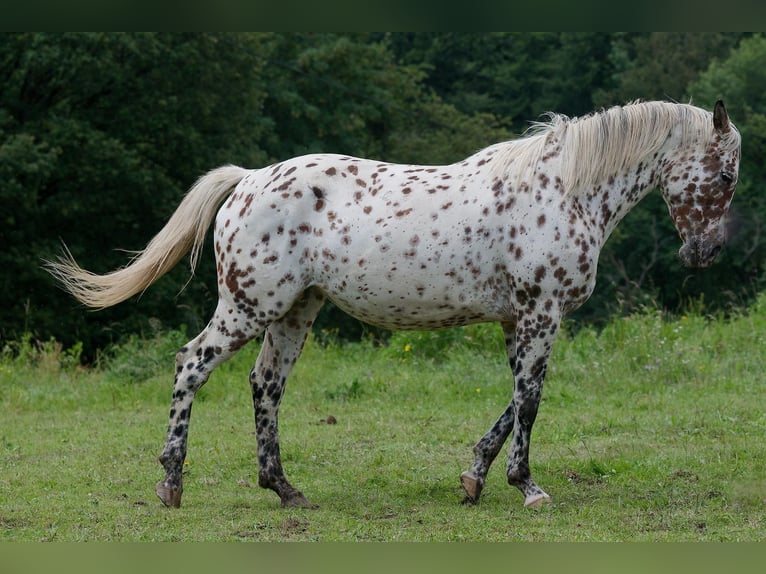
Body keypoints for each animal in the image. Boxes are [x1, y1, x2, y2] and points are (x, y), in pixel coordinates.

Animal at [48, 101, 744, 510]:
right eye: (728, 173)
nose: (706, 253)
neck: (564, 190)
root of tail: (248, 181)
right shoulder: (541, 316)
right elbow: (531, 400)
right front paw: (527, 486)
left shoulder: (518, 321)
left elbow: (516, 398)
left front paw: (476, 477)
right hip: (249, 307)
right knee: (191, 365)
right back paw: (171, 482)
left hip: (294, 313)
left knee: (265, 386)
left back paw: (285, 489)